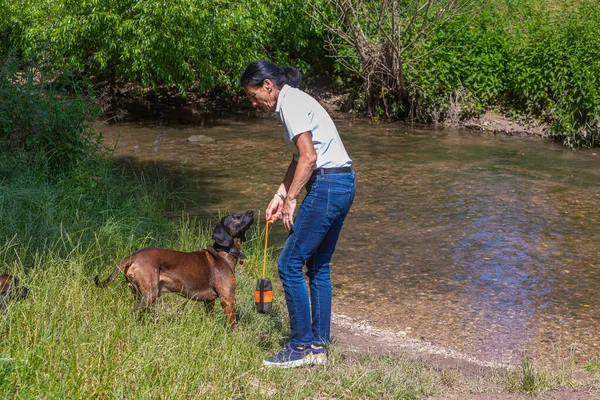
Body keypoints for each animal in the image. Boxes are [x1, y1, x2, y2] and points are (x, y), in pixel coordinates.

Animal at [94, 211, 253, 330]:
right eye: (234, 217)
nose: (251, 211)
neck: (223, 253)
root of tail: (132, 257)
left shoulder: (209, 302)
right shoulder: (228, 300)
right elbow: (233, 327)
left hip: (139, 295)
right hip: (149, 295)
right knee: (134, 315)